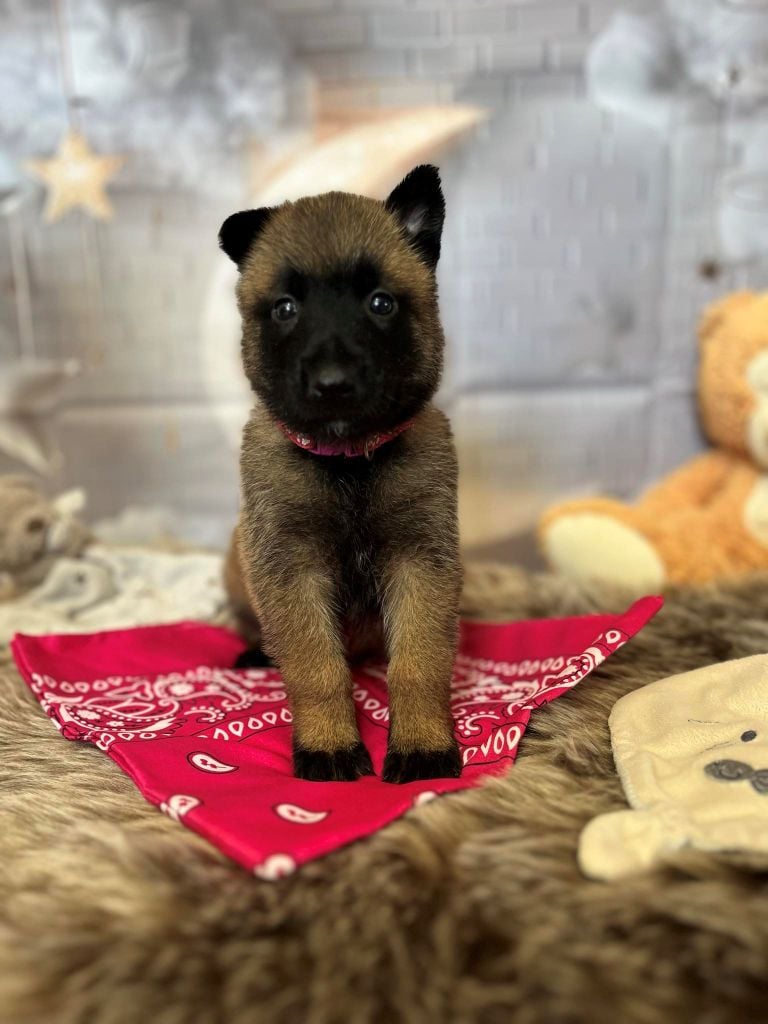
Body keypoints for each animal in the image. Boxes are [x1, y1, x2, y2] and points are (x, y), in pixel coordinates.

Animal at [219, 165, 462, 784]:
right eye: (285, 308)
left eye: (380, 303)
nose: (332, 384)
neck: (350, 463)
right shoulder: (290, 568)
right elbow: (316, 669)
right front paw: (329, 744)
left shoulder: (421, 562)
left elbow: (418, 664)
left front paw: (422, 744)